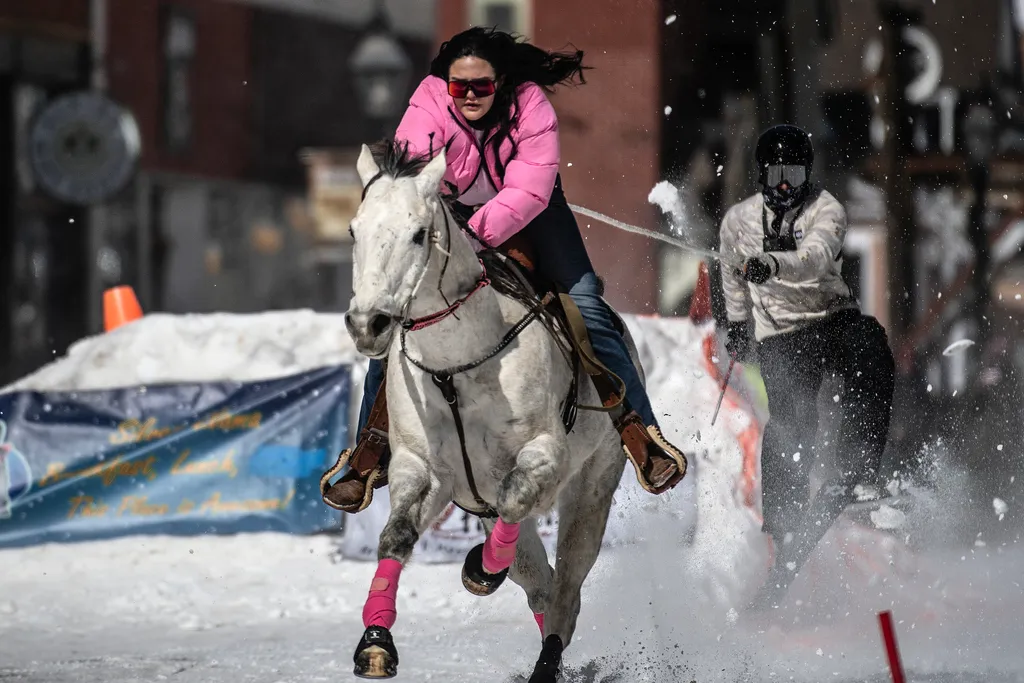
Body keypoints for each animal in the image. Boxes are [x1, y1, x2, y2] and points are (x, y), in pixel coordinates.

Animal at [342, 141, 671, 679]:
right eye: (355, 230)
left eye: (418, 233)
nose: (368, 323)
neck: (455, 368)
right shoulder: (422, 468)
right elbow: (396, 536)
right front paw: (375, 643)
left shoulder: (544, 455)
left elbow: (516, 498)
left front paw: (480, 568)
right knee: (541, 583)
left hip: (594, 486)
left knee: (564, 591)